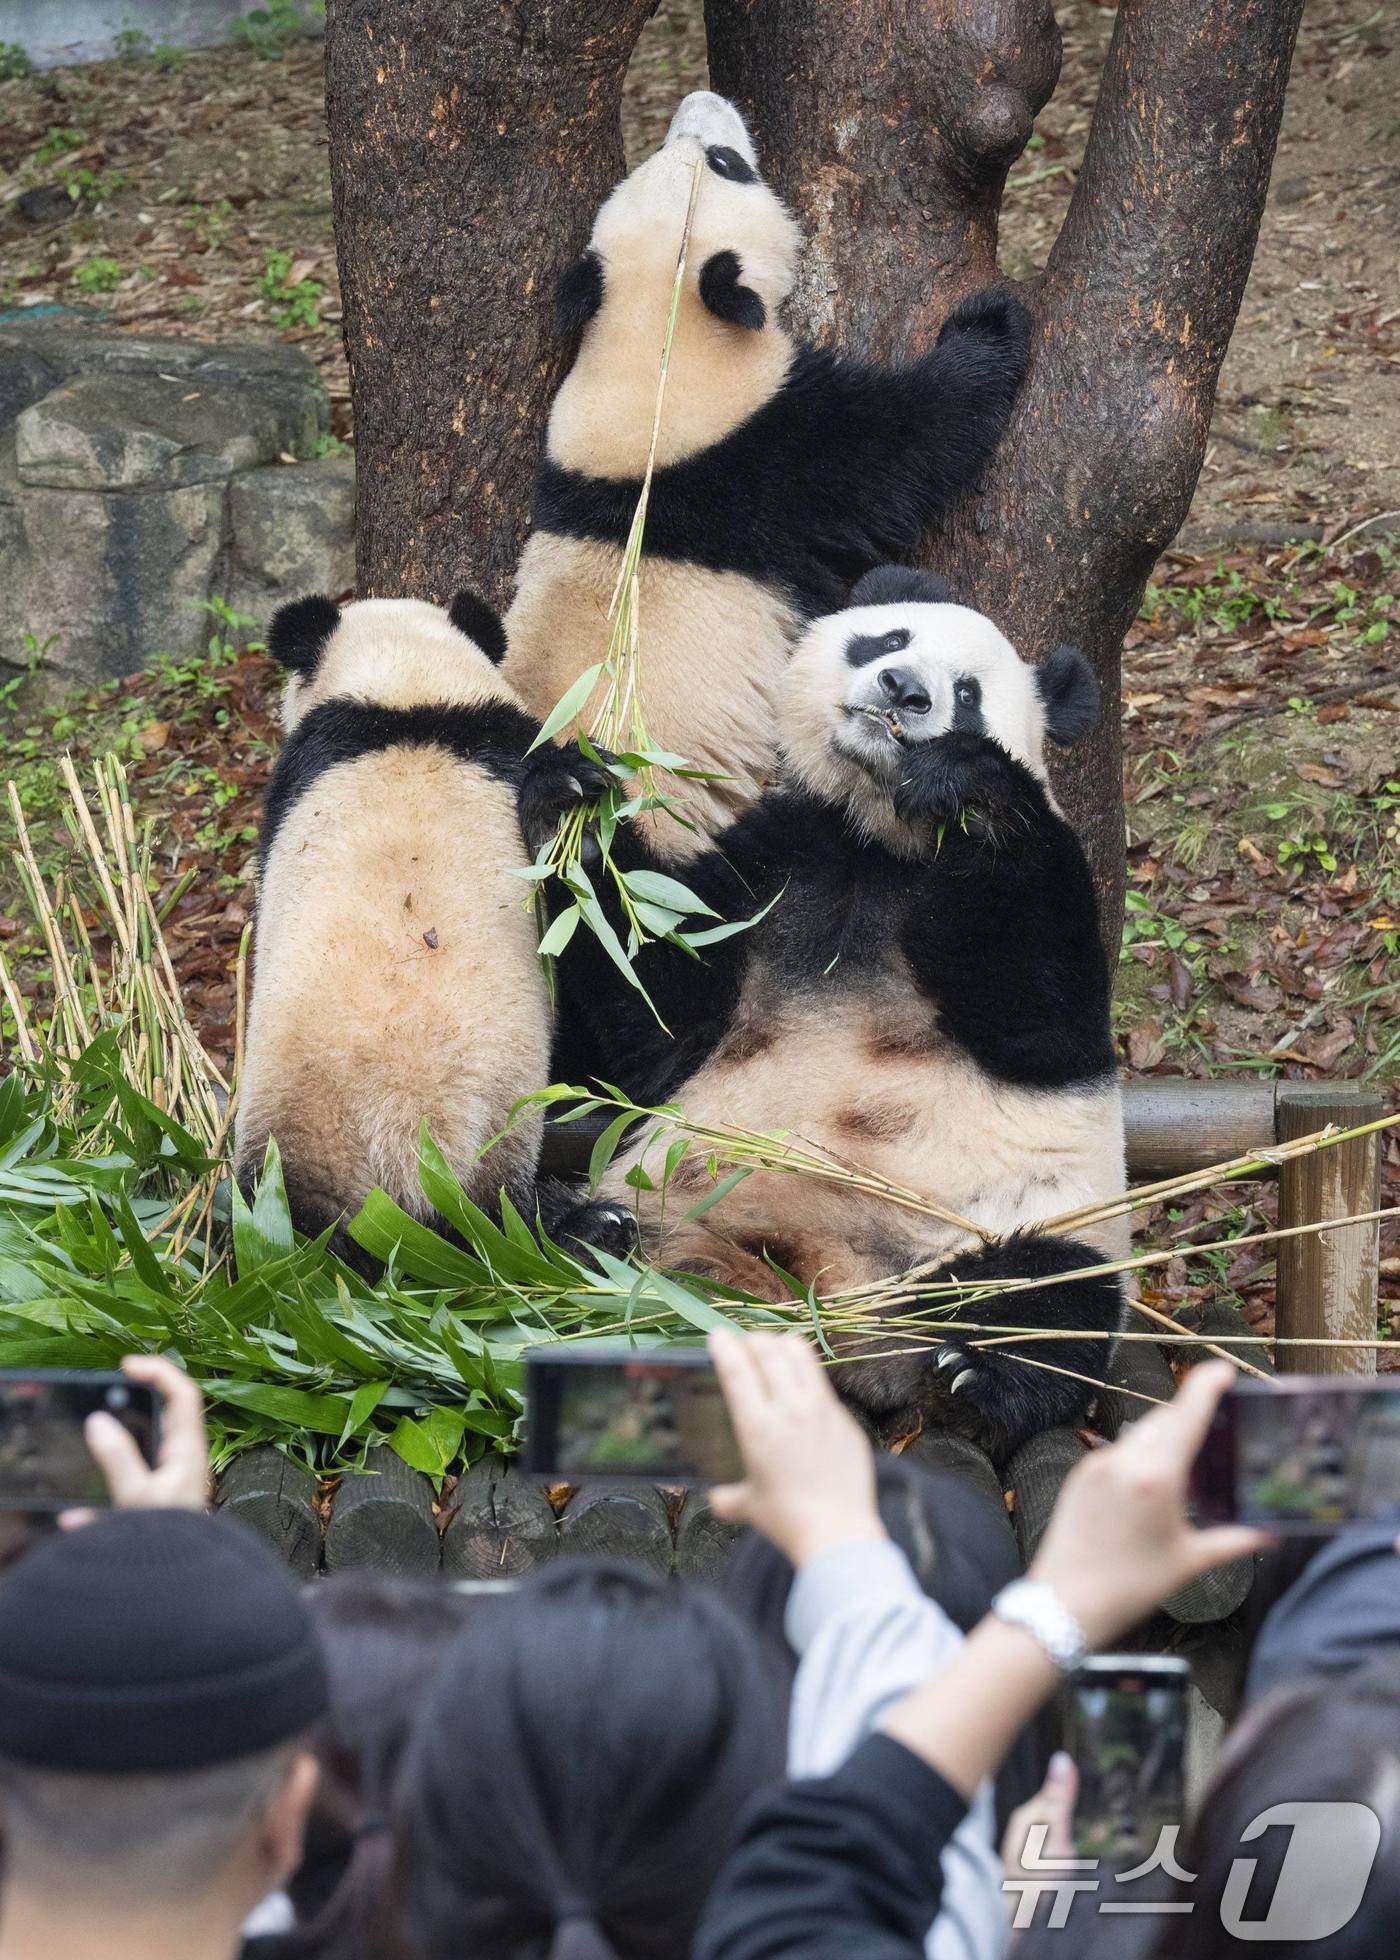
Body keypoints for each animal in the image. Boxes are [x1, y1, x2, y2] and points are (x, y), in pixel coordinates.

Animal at [505, 92, 1027, 854]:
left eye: (708, 156)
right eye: (729, 164)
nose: (702, 101)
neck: (656, 343)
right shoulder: (770, 453)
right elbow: (910, 442)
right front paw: (992, 324)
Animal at [521, 568, 1121, 1458]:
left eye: (969, 693)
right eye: (889, 639)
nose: (904, 690)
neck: (873, 840)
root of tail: (826, 1312)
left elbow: (1039, 1014)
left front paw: (969, 786)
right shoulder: (773, 863)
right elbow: (651, 1014)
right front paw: (573, 811)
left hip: (1010, 1224)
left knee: (1050, 1302)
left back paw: (978, 1379)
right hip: (664, 1207)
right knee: (505, 1221)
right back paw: (590, 1237)